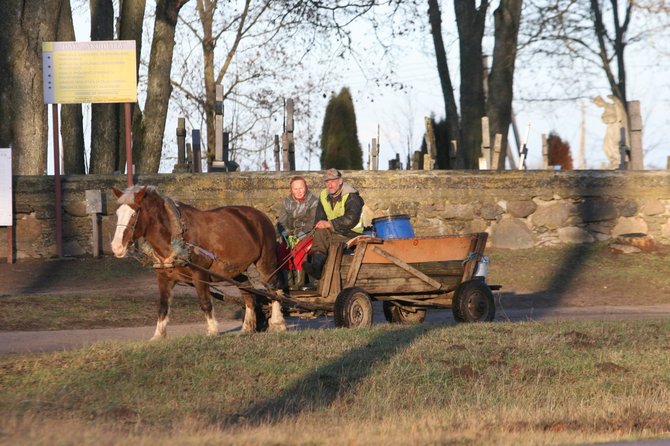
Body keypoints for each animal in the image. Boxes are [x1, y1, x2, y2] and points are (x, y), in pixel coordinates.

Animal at [111, 185, 288, 338]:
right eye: (118, 213)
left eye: (134, 214)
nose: (116, 247)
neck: (176, 234)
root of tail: (259, 214)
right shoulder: (163, 277)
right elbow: (163, 307)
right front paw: (158, 335)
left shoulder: (200, 274)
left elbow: (205, 303)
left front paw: (212, 331)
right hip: (234, 269)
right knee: (248, 292)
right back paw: (247, 328)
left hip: (266, 261)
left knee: (273, 288)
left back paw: (278, 323)